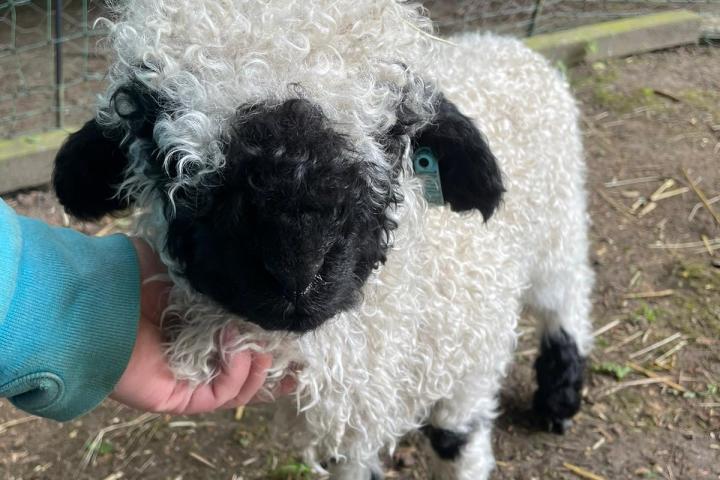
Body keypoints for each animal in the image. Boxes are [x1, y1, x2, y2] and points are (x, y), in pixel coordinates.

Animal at [49, 1, 592, 478]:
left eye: (397, 130)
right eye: (152, 132)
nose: (297, 267)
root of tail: (501, 42)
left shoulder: (471, 371)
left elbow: (456, 443)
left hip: (559, 228)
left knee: (568, 300)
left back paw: (560, 398)